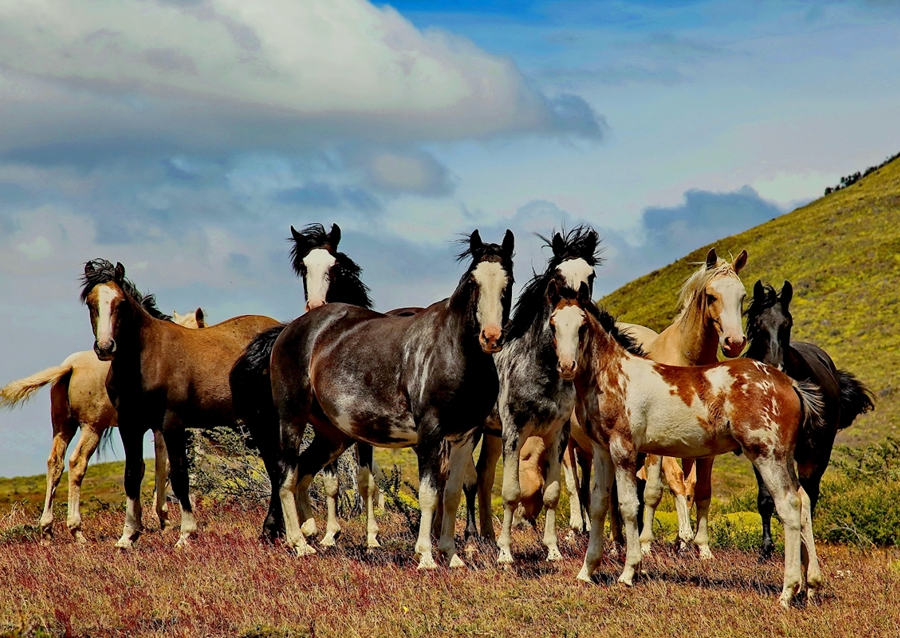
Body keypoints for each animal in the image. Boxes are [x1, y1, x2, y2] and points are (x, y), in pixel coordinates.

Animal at [0, 308, 205, 542]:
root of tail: (70, 367)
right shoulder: (159, 427)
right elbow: (163, 465)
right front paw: (163, 520)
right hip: (92, 428)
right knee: (76, 463)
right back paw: (76, 530)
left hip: (63, 427)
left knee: (55, 463)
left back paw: (47, 530)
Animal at [81, 259, 279, 548]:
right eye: (91, 302)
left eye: (120, 303)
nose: (106, 347)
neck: (147, 360)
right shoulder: (131, 425)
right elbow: (132, 476)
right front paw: (128, 535)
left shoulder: (173, 424)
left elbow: (180, 477)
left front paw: (186, 534)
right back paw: (273, 531)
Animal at [270, 229, 514, 569]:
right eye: (473, 282)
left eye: (508, 281)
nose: (491, 337)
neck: (454, 352)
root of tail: (295, 327)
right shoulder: (430, 434)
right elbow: (428, 494)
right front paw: (425, 556)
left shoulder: (465, 435)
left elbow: (451, 493)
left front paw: (452, 555)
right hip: (291, 418)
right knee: (286, 476)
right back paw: (300, 543)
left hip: (333, 434)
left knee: (305, 468)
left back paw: (311, 533)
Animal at [549, 282, 824, 607]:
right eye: (553, 324)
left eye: (582, 326)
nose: (567, 366)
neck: (614, 375)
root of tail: (789, 384)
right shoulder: (603, 451)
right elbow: (599, 506)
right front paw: (586, 572)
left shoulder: (624, 449)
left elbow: (629, 506)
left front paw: (629, 572)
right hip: (783, 457)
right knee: (803, 500)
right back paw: (811, 586)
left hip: (767, 455)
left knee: (789, 506)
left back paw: (787, 591)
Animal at [745, 280, 874, 559]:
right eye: (758, 325)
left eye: (787, 324)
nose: (775, 369)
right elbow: (765, 499)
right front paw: (766, 549)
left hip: (817, 452)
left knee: (809, 494)